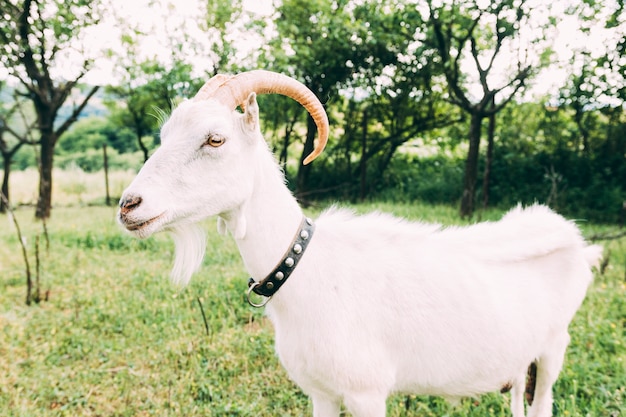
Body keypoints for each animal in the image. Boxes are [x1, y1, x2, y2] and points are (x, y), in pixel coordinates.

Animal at [117, 70, 600, 414]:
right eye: (164, 137)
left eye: (215, 138)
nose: (128, 205)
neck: (304, 269)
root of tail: (573, 237)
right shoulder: (321, 392)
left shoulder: (367, 392)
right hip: (522, 360)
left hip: (554, 348)